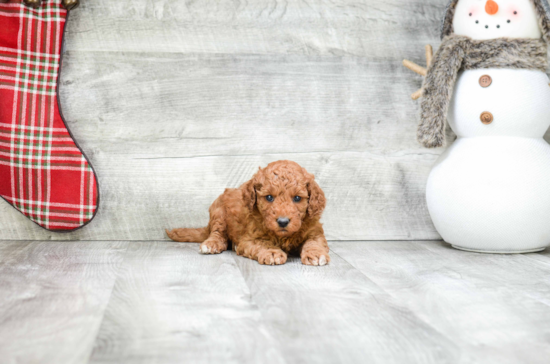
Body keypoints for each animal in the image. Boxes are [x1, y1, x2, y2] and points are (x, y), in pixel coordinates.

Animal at [166, 161, 330, 266]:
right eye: (269, 197)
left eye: (297, 198)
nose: (283, 222)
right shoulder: (249, 238)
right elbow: (263, 243)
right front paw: (272, 253)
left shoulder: (315, 232)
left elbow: (314, 242)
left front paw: (316, 254)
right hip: (219, 212)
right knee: (218, 233)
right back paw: (212, 244)